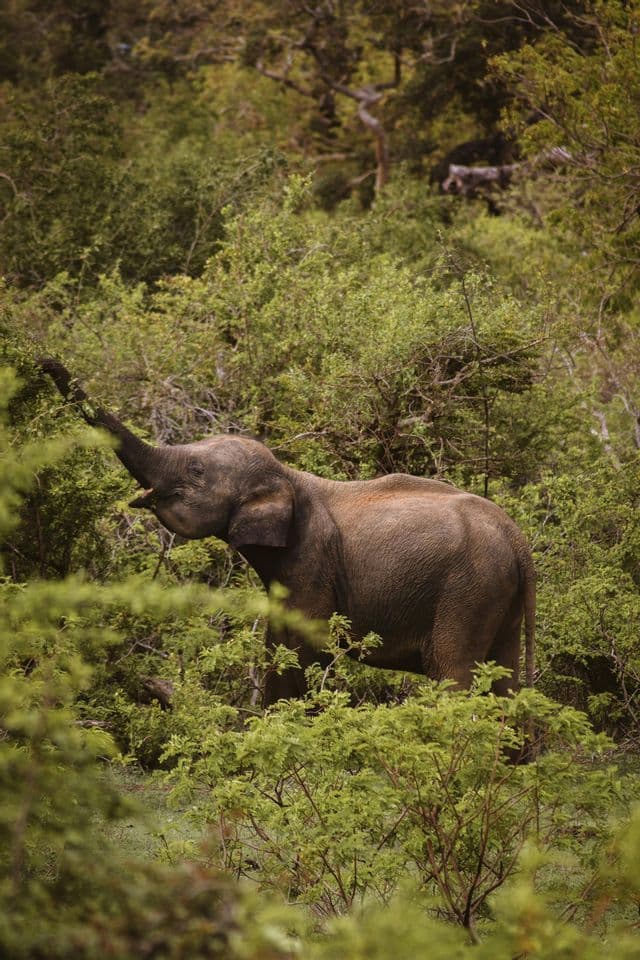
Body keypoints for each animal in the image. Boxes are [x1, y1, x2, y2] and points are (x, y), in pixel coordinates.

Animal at [40, 358, 535, 705]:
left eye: (196, 470)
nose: (41, 359)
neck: (289, 475)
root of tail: (518, 541)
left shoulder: (311, 561)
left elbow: (298, 645)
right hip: (497, 595)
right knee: (505, 680)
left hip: (466, 591)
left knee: (454, 673)